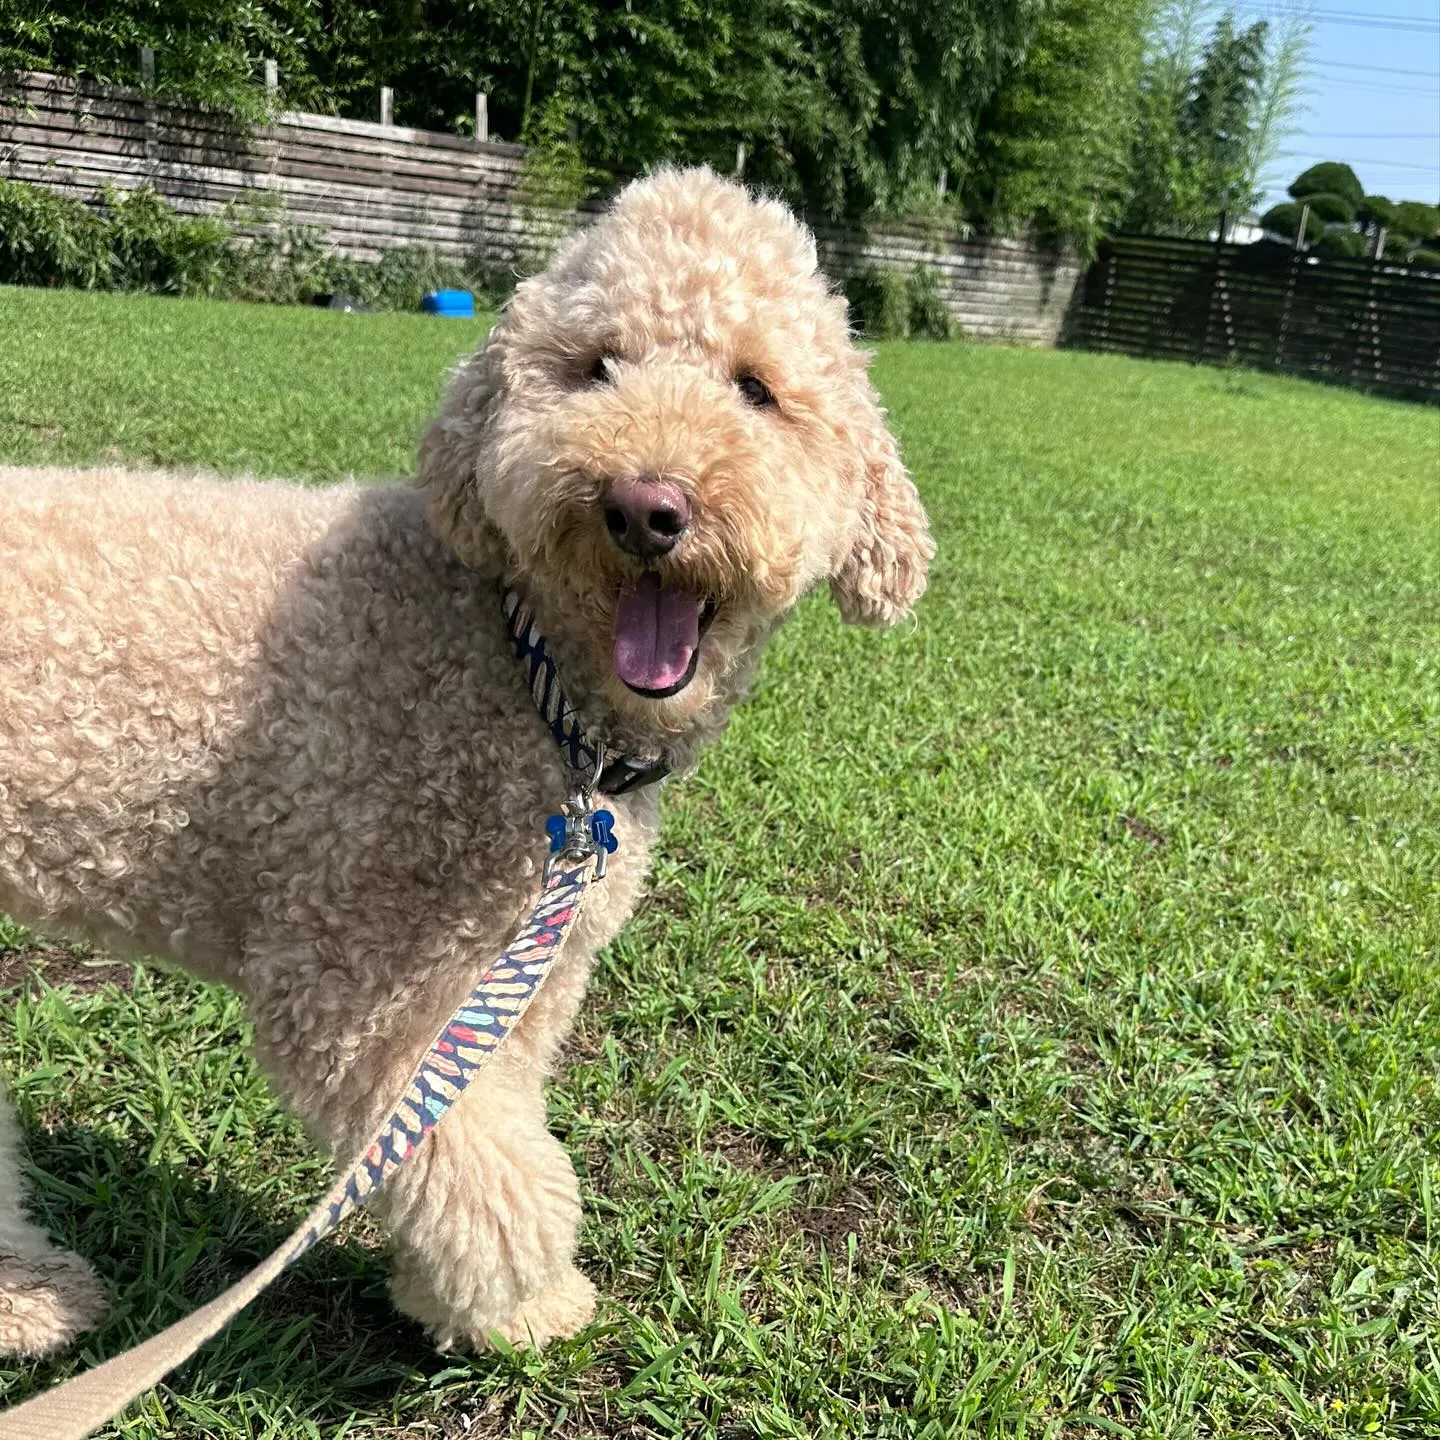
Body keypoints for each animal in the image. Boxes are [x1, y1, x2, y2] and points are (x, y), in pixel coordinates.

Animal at [0, 163, 933, 1353]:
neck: (523, 668)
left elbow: (485, 1123)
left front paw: (460, 1297)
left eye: (756, 389)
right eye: (594, 367)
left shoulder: (522, 975)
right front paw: (520, 1301)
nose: (646, 507)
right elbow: (482, 1165)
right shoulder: (361, 974)